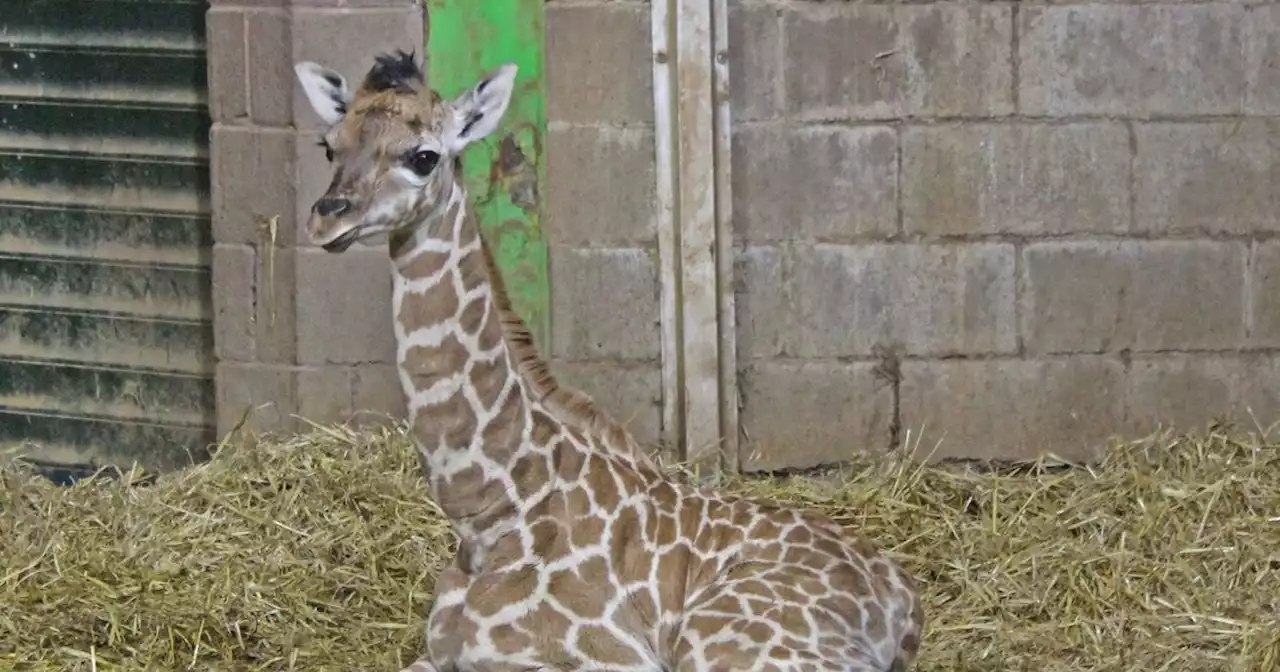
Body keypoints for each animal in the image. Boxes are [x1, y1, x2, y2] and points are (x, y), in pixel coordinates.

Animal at [294, 52, 926, 670]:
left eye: (424, 156)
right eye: (330, 145)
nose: (328, 217)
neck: (488, 514)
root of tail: (903, 600)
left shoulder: (611, 660)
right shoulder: (434, 655)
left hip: (725, 643)